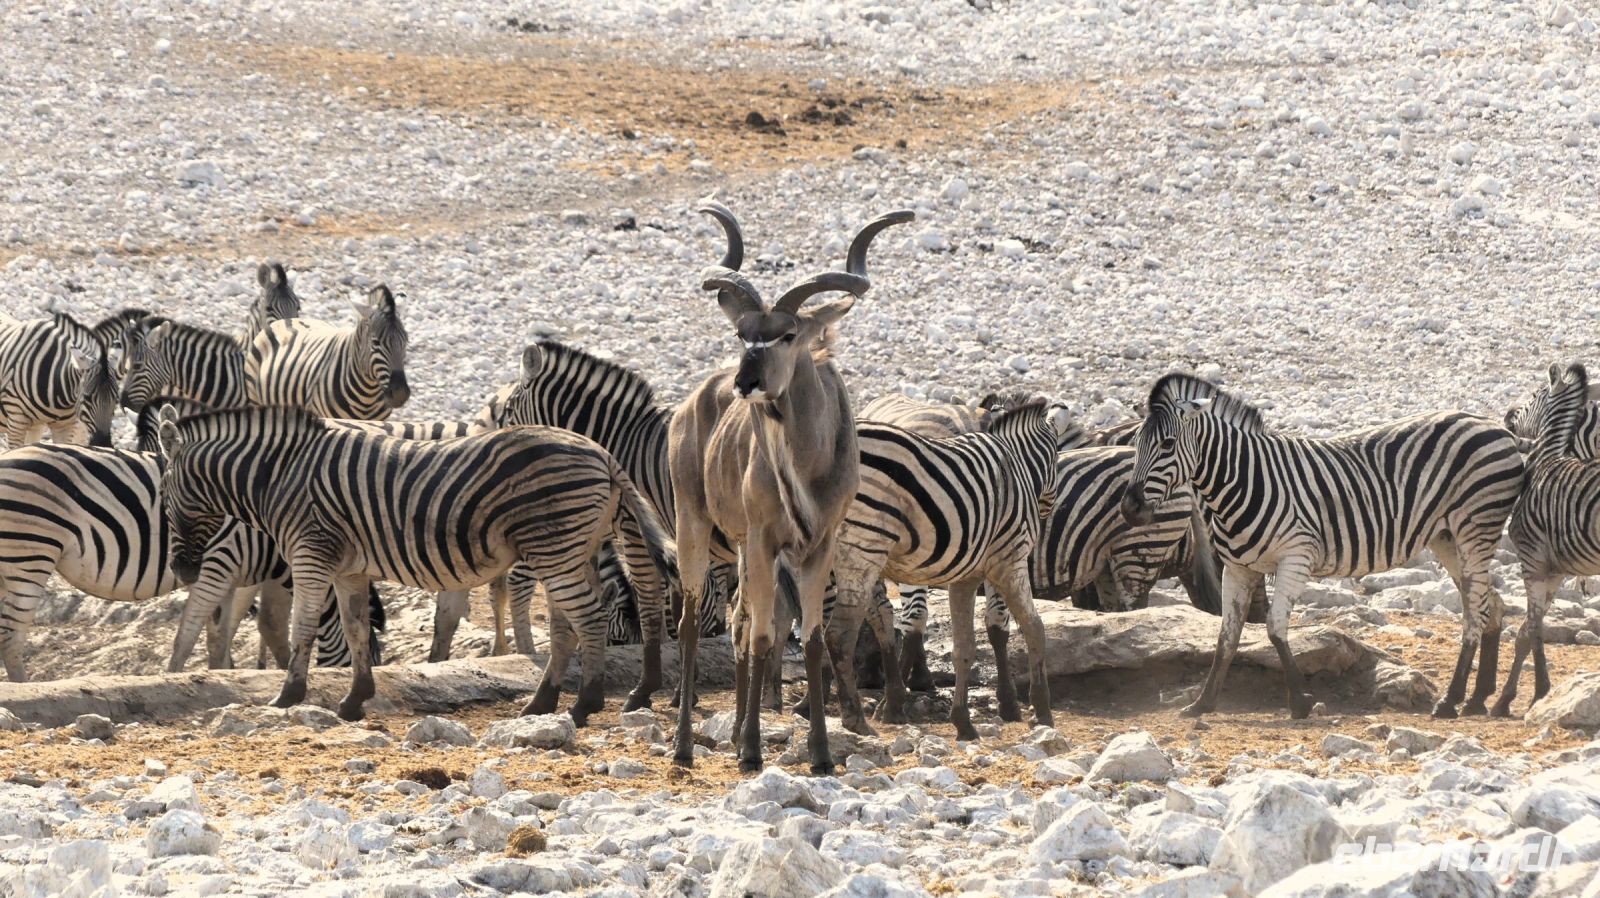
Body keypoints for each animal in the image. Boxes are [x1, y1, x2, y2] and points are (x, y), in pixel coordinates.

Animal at [0, 441, 294, 681]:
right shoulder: (222, 564)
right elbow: (192, 637)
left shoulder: (237, 575)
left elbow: (222, 638)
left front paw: (223, 676)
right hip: (30, 556)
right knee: (10, 637)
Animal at [155, 405, 675, 724]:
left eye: (162, 493)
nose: (183, 571)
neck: (278, 475)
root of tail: (602, 452)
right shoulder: (348, 568)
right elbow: (356, 630)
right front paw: (354, 700)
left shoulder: (310, 553)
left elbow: (303, 627)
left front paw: (288, 697)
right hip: (571, 548)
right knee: (569, 623)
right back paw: (541, 702)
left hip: (555, 546)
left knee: (590, 617)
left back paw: (584, 704)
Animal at [245, 285, 409, 420]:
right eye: (376, 343)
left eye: (405, 342)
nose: (400, 393)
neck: (368, 394)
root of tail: (287, 320)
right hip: (254, 398)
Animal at [1122, 373, 1524, 719]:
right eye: (1136, 445)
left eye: (1167, 445)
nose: (1129, 508)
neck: (1241, 481)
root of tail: (1490, 423)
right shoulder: (1238, 568)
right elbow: (1227, 636)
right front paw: (1203, 703)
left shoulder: (1296, 558)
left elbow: (1274, 629)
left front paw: (1300, 701)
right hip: (1446, 538)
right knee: (1490, 605)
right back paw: (1477, 698)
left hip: (1475, 528)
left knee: (1474, 611)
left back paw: (1451, 700)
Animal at [1498, 363, 1600, 717]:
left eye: (1533, 395)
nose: (1507, 414)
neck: (1547, 456)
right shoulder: (1556, 570)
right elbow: (1527, 631)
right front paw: (1510, 697)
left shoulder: (1531, 559)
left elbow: (1532, 629)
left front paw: (1536, 692)